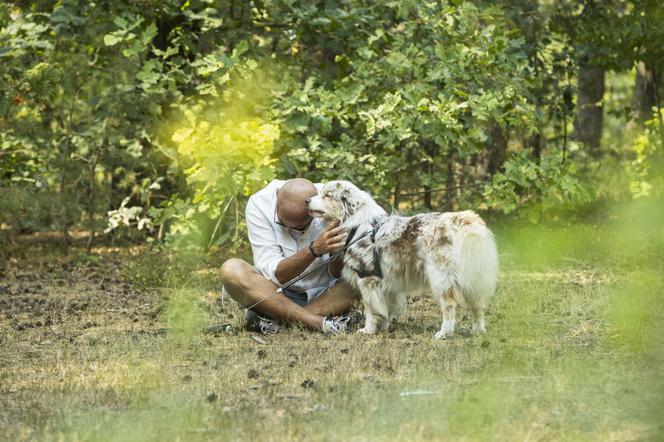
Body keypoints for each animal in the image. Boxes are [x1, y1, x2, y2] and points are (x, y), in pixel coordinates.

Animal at [308, 181, 498, 340]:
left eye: (327, 195)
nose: (306, 200)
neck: (357, 225)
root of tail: (465, 221)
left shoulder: (367, 280)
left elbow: (370, 309)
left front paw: (368, 329)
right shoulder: (387, 283)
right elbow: (385, 309)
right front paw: (383, 326)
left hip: (441, 278)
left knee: (450, 306)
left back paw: (444, 333)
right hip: (473, 277)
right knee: (477, 306)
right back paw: (478, 331)